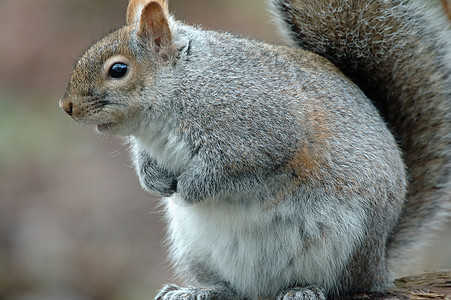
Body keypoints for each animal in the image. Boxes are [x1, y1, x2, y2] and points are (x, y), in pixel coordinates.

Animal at [60, 0, 451, 298]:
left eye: (118, 70)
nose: (66, 107)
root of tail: (378, 264)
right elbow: (145, 163)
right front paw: (154, 181)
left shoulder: (259, 135)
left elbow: (229, 169)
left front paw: (189, 188)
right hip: (195, 251)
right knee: (233, 290)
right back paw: (196, 292)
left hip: (342, 248)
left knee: (339, 287)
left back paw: (303, 291)